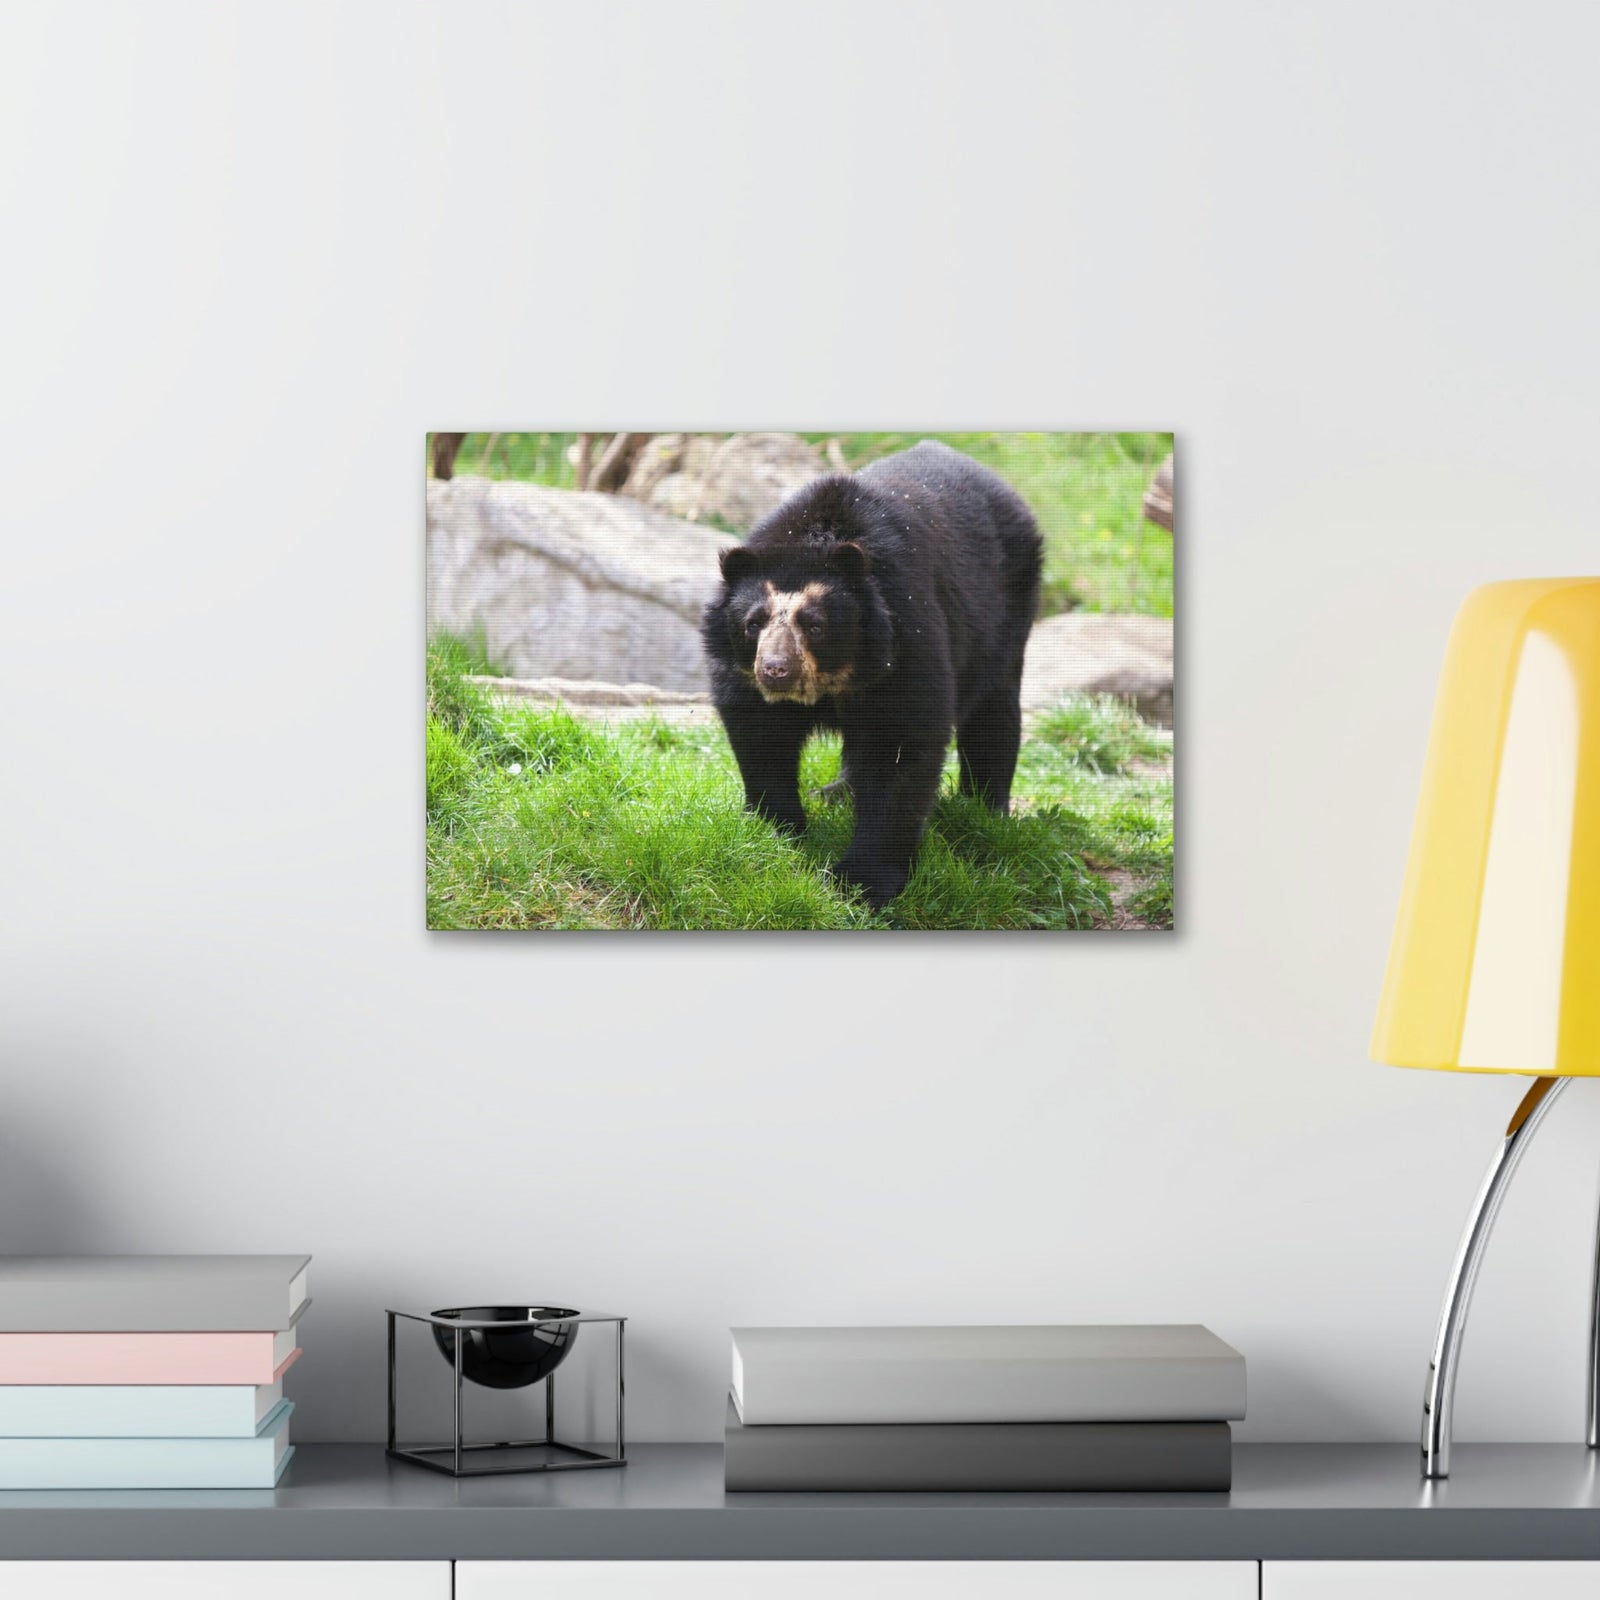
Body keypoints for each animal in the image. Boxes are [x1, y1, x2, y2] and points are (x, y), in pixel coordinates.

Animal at [701, 440, 1042, 909]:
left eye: (815, 625)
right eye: (754, 623)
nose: (775, 670)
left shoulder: (904, 638)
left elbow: (901, 743)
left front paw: (861, 883)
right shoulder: (743, 676)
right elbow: (761, 737)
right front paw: (774, 830)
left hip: (1007, 609)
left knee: (993, 711)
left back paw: (985, 810)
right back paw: (836, 793)